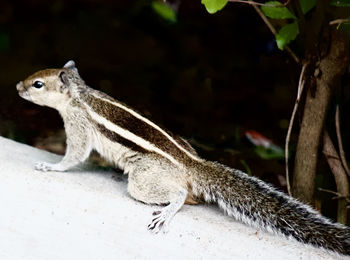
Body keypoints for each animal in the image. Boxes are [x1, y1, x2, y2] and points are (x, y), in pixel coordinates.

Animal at [17, 59, 350, 256]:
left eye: (38, 84)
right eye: (34, 76)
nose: (18, 86)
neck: (80, 94)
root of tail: (193, 165)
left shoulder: (78, 126)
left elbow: (74, 155)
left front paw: (51, 165)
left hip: (144, 179)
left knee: (176, 193)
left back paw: (168, 209)